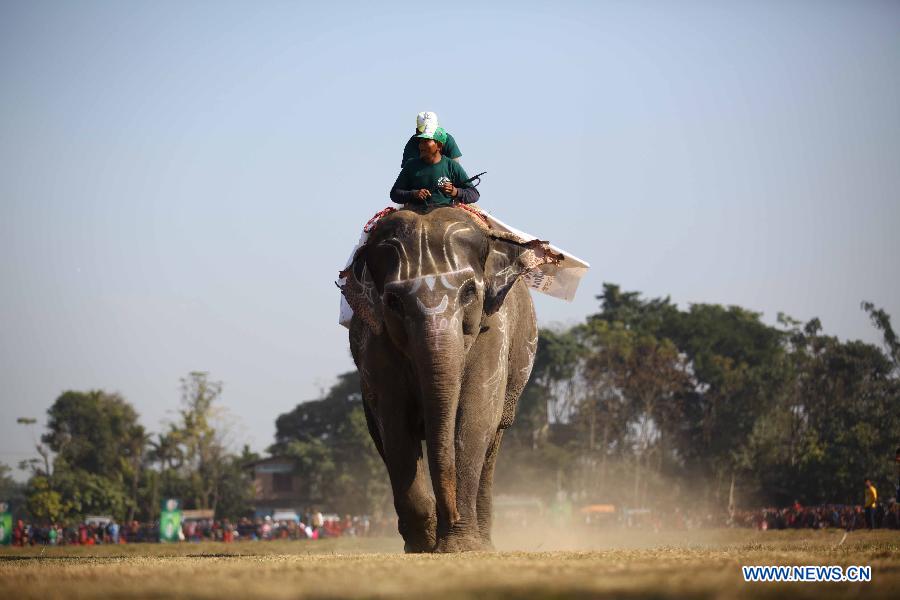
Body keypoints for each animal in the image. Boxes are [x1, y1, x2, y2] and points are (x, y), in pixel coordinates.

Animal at [340, 207, 560, 552]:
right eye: (393, 301)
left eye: (469, 292)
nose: (452, 514)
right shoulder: (374, 340)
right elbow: (395, 424)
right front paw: (424, 545)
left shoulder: (493, 331)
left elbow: (474, 419)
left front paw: (459, 546)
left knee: (493, 441)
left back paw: (484, 542)